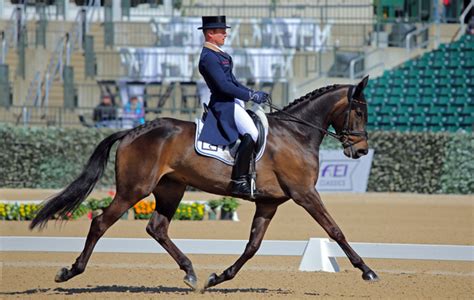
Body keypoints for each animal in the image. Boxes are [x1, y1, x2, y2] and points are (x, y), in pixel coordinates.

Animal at [29, 75, 378, 290]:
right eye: (360, 112)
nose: (361, 150)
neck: (296, 134)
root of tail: (132, 131)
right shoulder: (305, 193)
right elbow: (334, 230)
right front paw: (367, 270)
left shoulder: (269, 202)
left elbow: (252, 245)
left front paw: (219, 277)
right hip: (134, 189)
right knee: (100, 222)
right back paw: (71, 271)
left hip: (171, 188)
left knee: (157, 227)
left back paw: (190, 272)